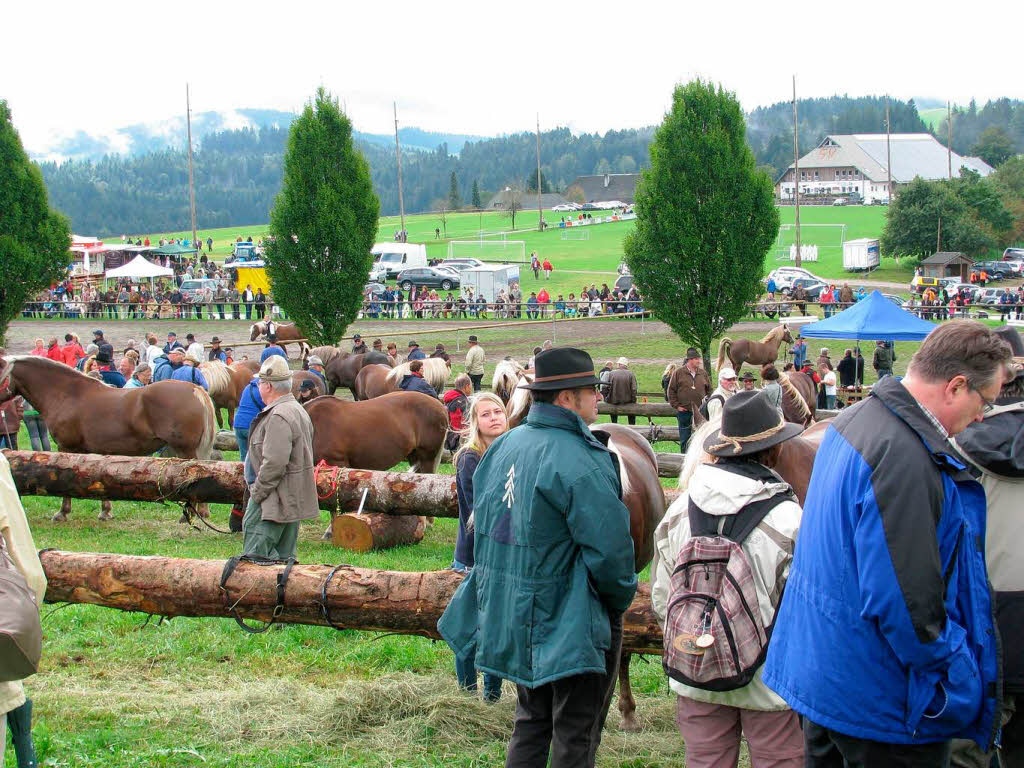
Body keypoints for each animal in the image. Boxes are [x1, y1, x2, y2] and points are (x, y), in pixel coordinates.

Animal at [0, 358, 216, 520]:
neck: (67, 394)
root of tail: (195, 389)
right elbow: (101, 480)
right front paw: (105, 512)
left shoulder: (66, 448)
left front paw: (62, 512)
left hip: (185, 450)